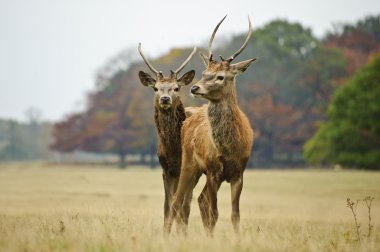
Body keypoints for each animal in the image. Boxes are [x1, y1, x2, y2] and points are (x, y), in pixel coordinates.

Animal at [137, 43, 197, 232]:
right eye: (156, 88)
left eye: (176, 88)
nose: (165, 99)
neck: (174, 152)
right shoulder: (166, 170)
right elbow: (167, 206)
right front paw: (165, 233)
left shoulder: (188, 169)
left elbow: (181, 206)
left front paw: (180, 234)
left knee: (187, 205)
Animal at [166, 16, 255, 236]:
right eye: (205, 72)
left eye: (221, 76)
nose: (195, 88)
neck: (229, 148)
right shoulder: (214, 170)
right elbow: (214, 212)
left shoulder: (239, 172)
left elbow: (234, 215)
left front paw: (236, 238)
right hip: (189, 164)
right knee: (177, 202)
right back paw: (167, 236)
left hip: (202, 171)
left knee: (199, 199)